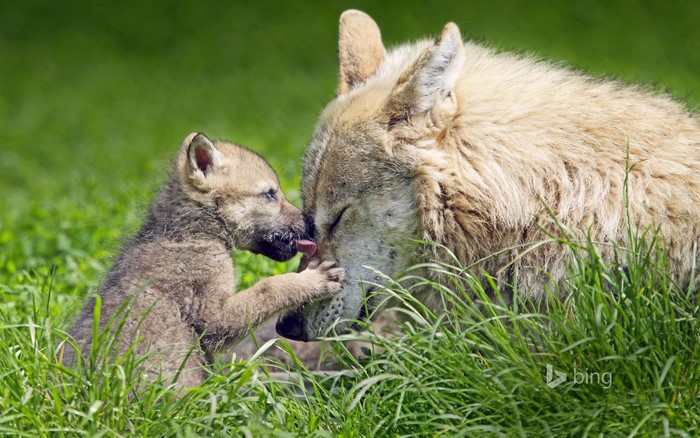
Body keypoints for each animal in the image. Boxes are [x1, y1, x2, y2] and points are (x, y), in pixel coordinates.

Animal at [63, 132, 344, 390]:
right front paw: (313, 279)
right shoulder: (212, 315)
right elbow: (271, 287)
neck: (192, 232)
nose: (310, 224)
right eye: (269, 194)